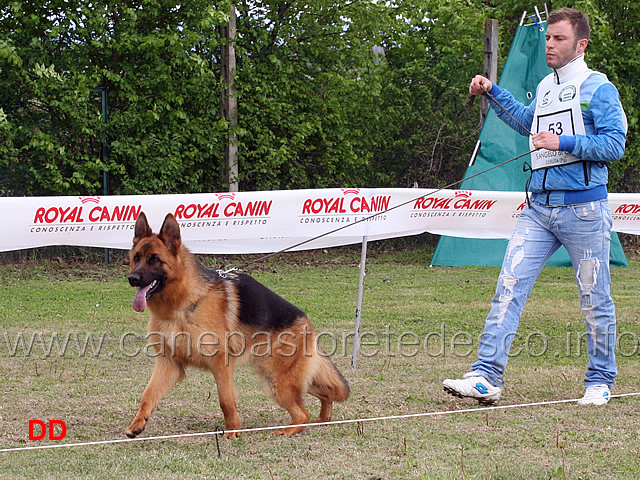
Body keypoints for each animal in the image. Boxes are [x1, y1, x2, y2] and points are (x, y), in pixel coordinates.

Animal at [125, 212, 350, 436]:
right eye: (136, 258)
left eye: (155, 259)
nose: (132, 279)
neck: (185, 303)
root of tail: (306, 323)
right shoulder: (169, 364)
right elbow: (148, 394)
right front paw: (137, 424)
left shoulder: (220, 364)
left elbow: (226, 401)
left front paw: (233, 432)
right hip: (281, 377)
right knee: (328, 392)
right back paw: (323, 418)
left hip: (278, 381)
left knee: (304, 414)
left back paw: (287, 430)